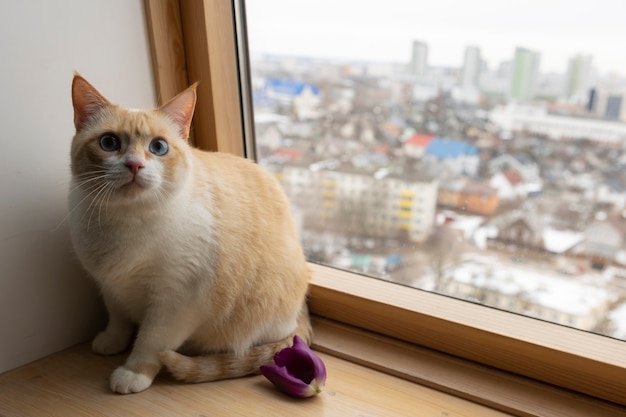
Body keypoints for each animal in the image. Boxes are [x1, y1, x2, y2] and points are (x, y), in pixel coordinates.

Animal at [68, 75, 312, 394]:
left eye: (158, 147)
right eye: (109, 143)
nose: (134, 165)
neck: (125, 222)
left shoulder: (177, 299)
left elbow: (150, 342)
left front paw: (133, 373)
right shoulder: (108, 284)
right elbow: (118, 317)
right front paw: (112, 341)